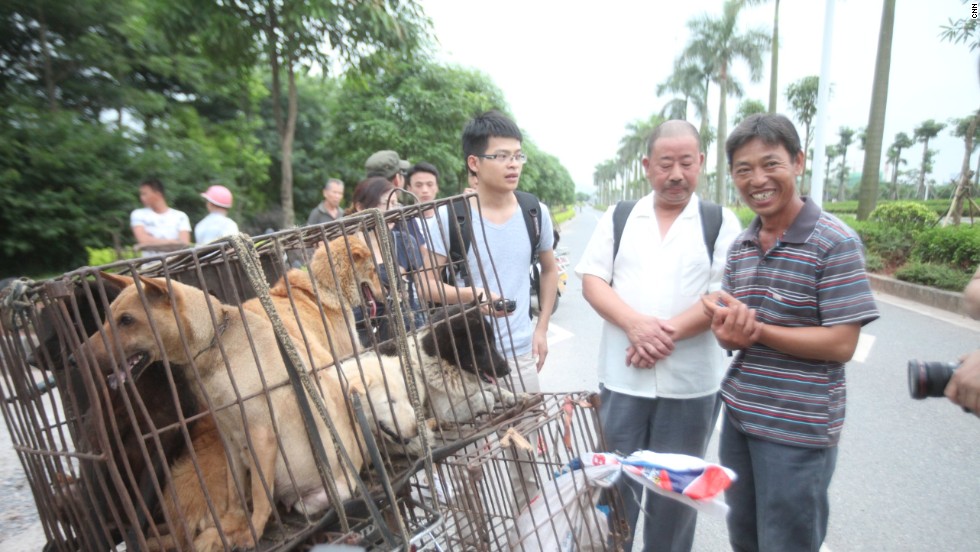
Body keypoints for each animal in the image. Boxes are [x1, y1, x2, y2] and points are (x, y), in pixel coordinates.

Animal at [84, 274, 418, 548]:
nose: (78, 357)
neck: (216, 340)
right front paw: (233, 522)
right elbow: (236, 492)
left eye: (127, 320)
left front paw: (251, 531)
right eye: (107, 318)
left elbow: (259, 493)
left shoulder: (261, 435)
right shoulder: (231, 440)